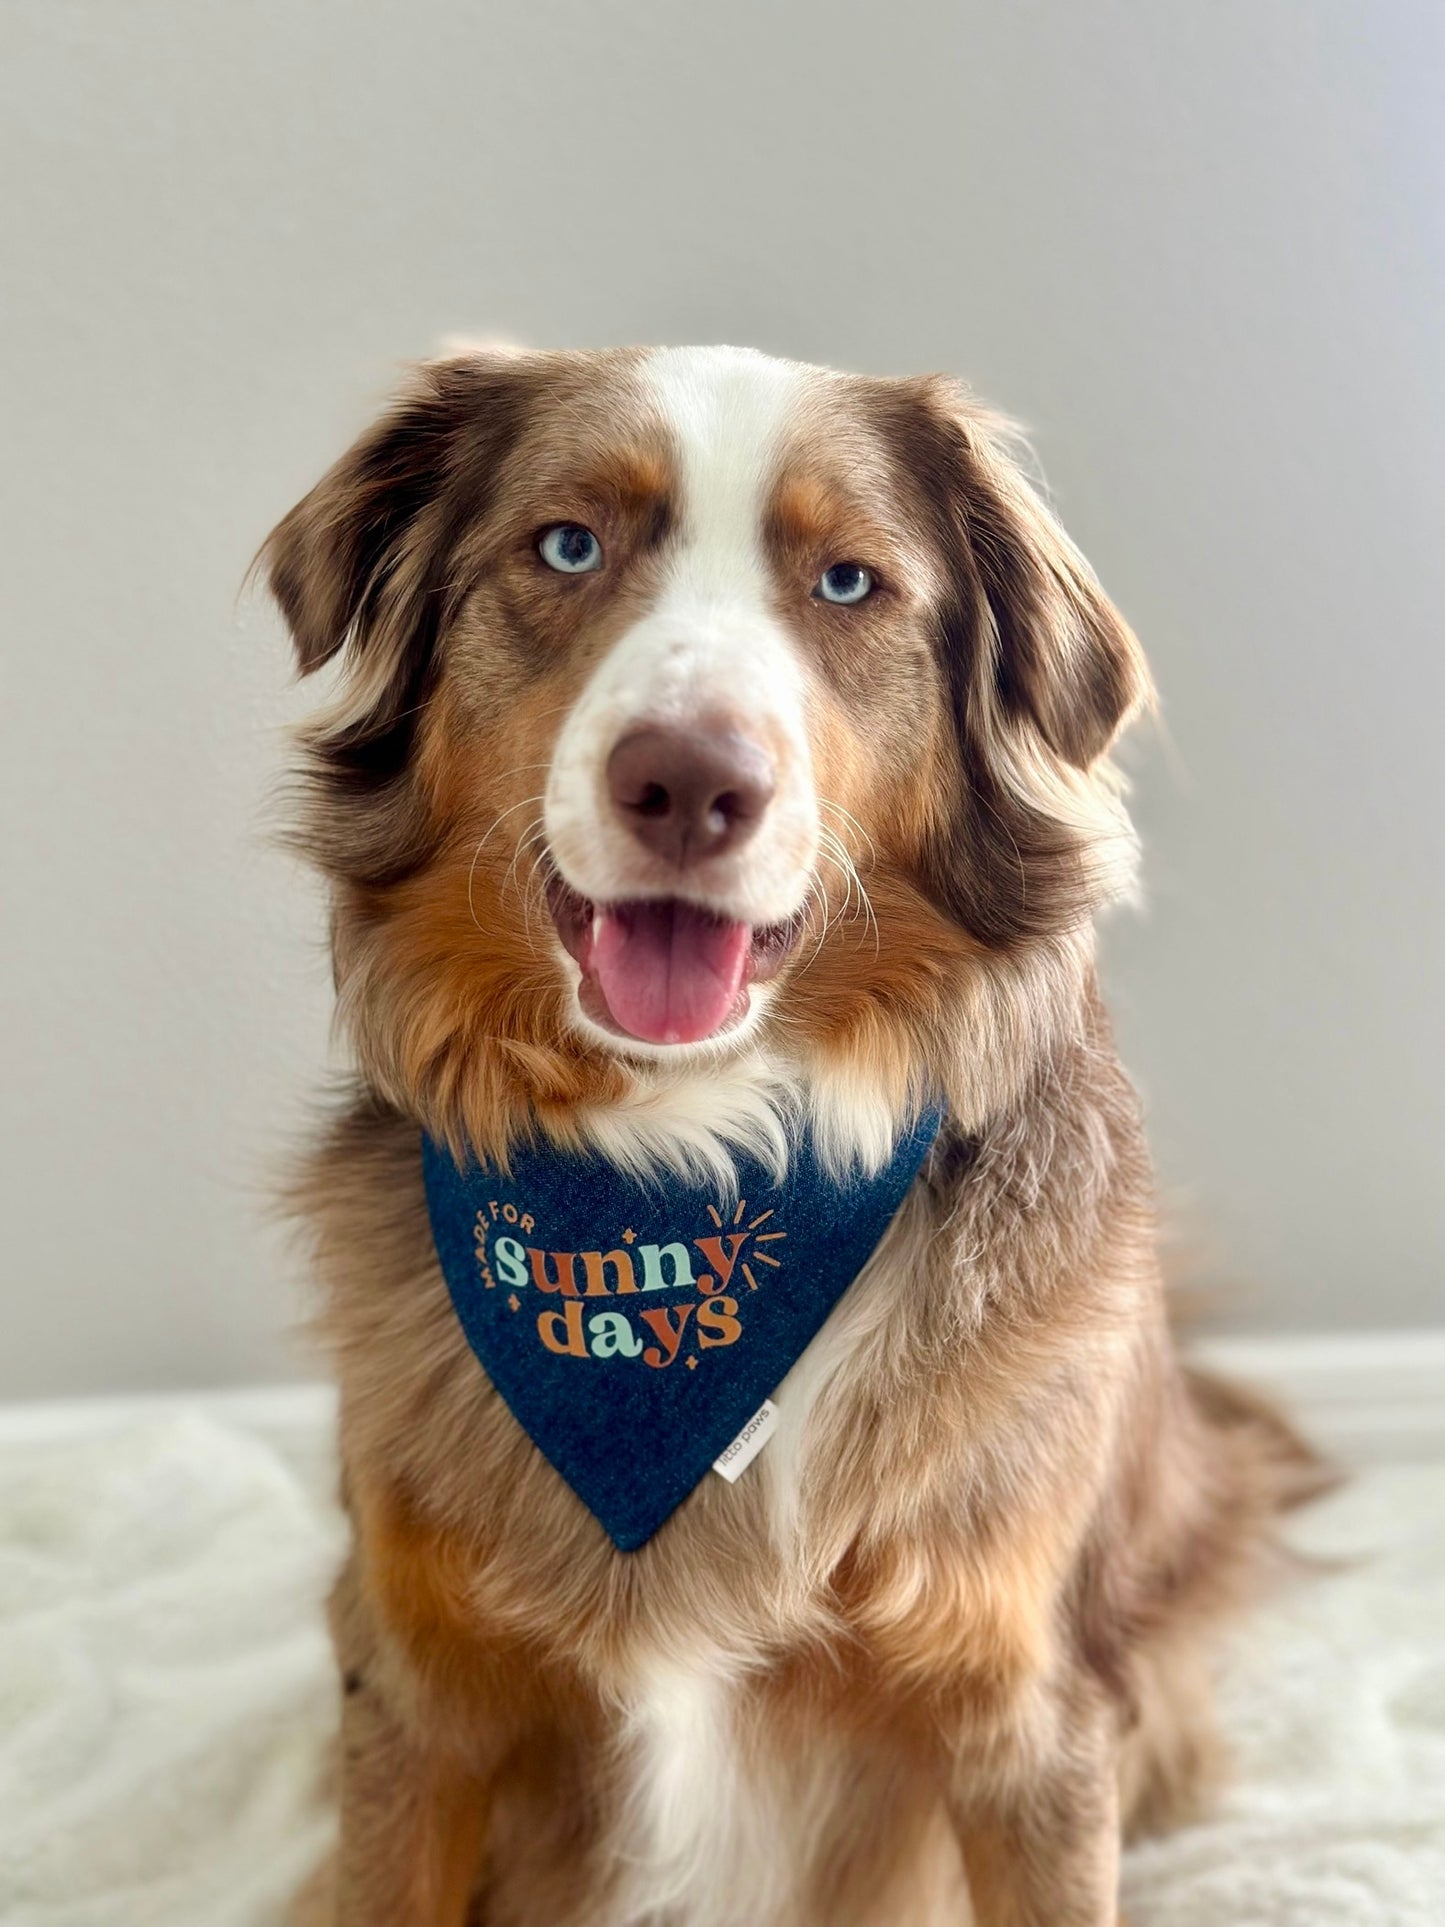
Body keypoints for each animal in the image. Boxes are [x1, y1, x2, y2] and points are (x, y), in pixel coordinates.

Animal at [265, 350, 1333, 1927]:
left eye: (846, 582)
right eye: (567, 545)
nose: (689, 783)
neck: (681, 1179)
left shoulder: (1025, 1712)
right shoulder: (412, 1686)